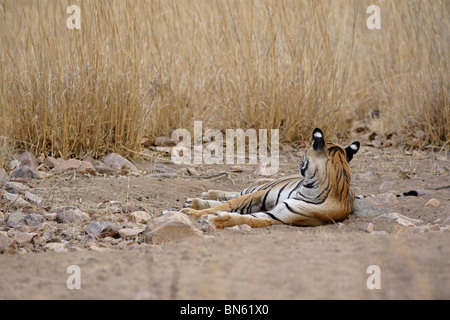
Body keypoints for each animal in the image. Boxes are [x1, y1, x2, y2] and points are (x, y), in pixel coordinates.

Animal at [181, 127, 360, 228]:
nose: (299, 164)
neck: (310, 186)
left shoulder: (279, 216)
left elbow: (246, 220)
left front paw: (212, 220)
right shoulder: (260, 194)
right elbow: (227, 204)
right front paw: (193, 213)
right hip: (261, 188)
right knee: (235, 194)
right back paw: (199, 199)